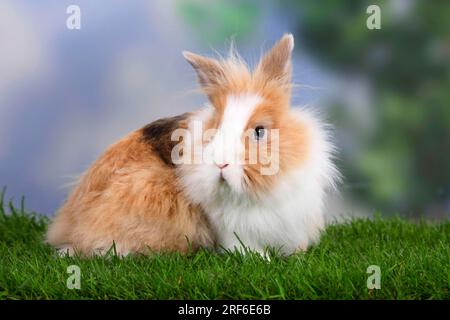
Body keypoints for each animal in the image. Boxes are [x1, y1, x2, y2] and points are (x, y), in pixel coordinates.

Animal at [47, 33, 340, 256]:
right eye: (216, 126)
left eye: (260, 131)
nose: (220, 163)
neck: (260, 194)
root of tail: (68, 223)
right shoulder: (231, 231)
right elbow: (247, 250)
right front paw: (262, 260)